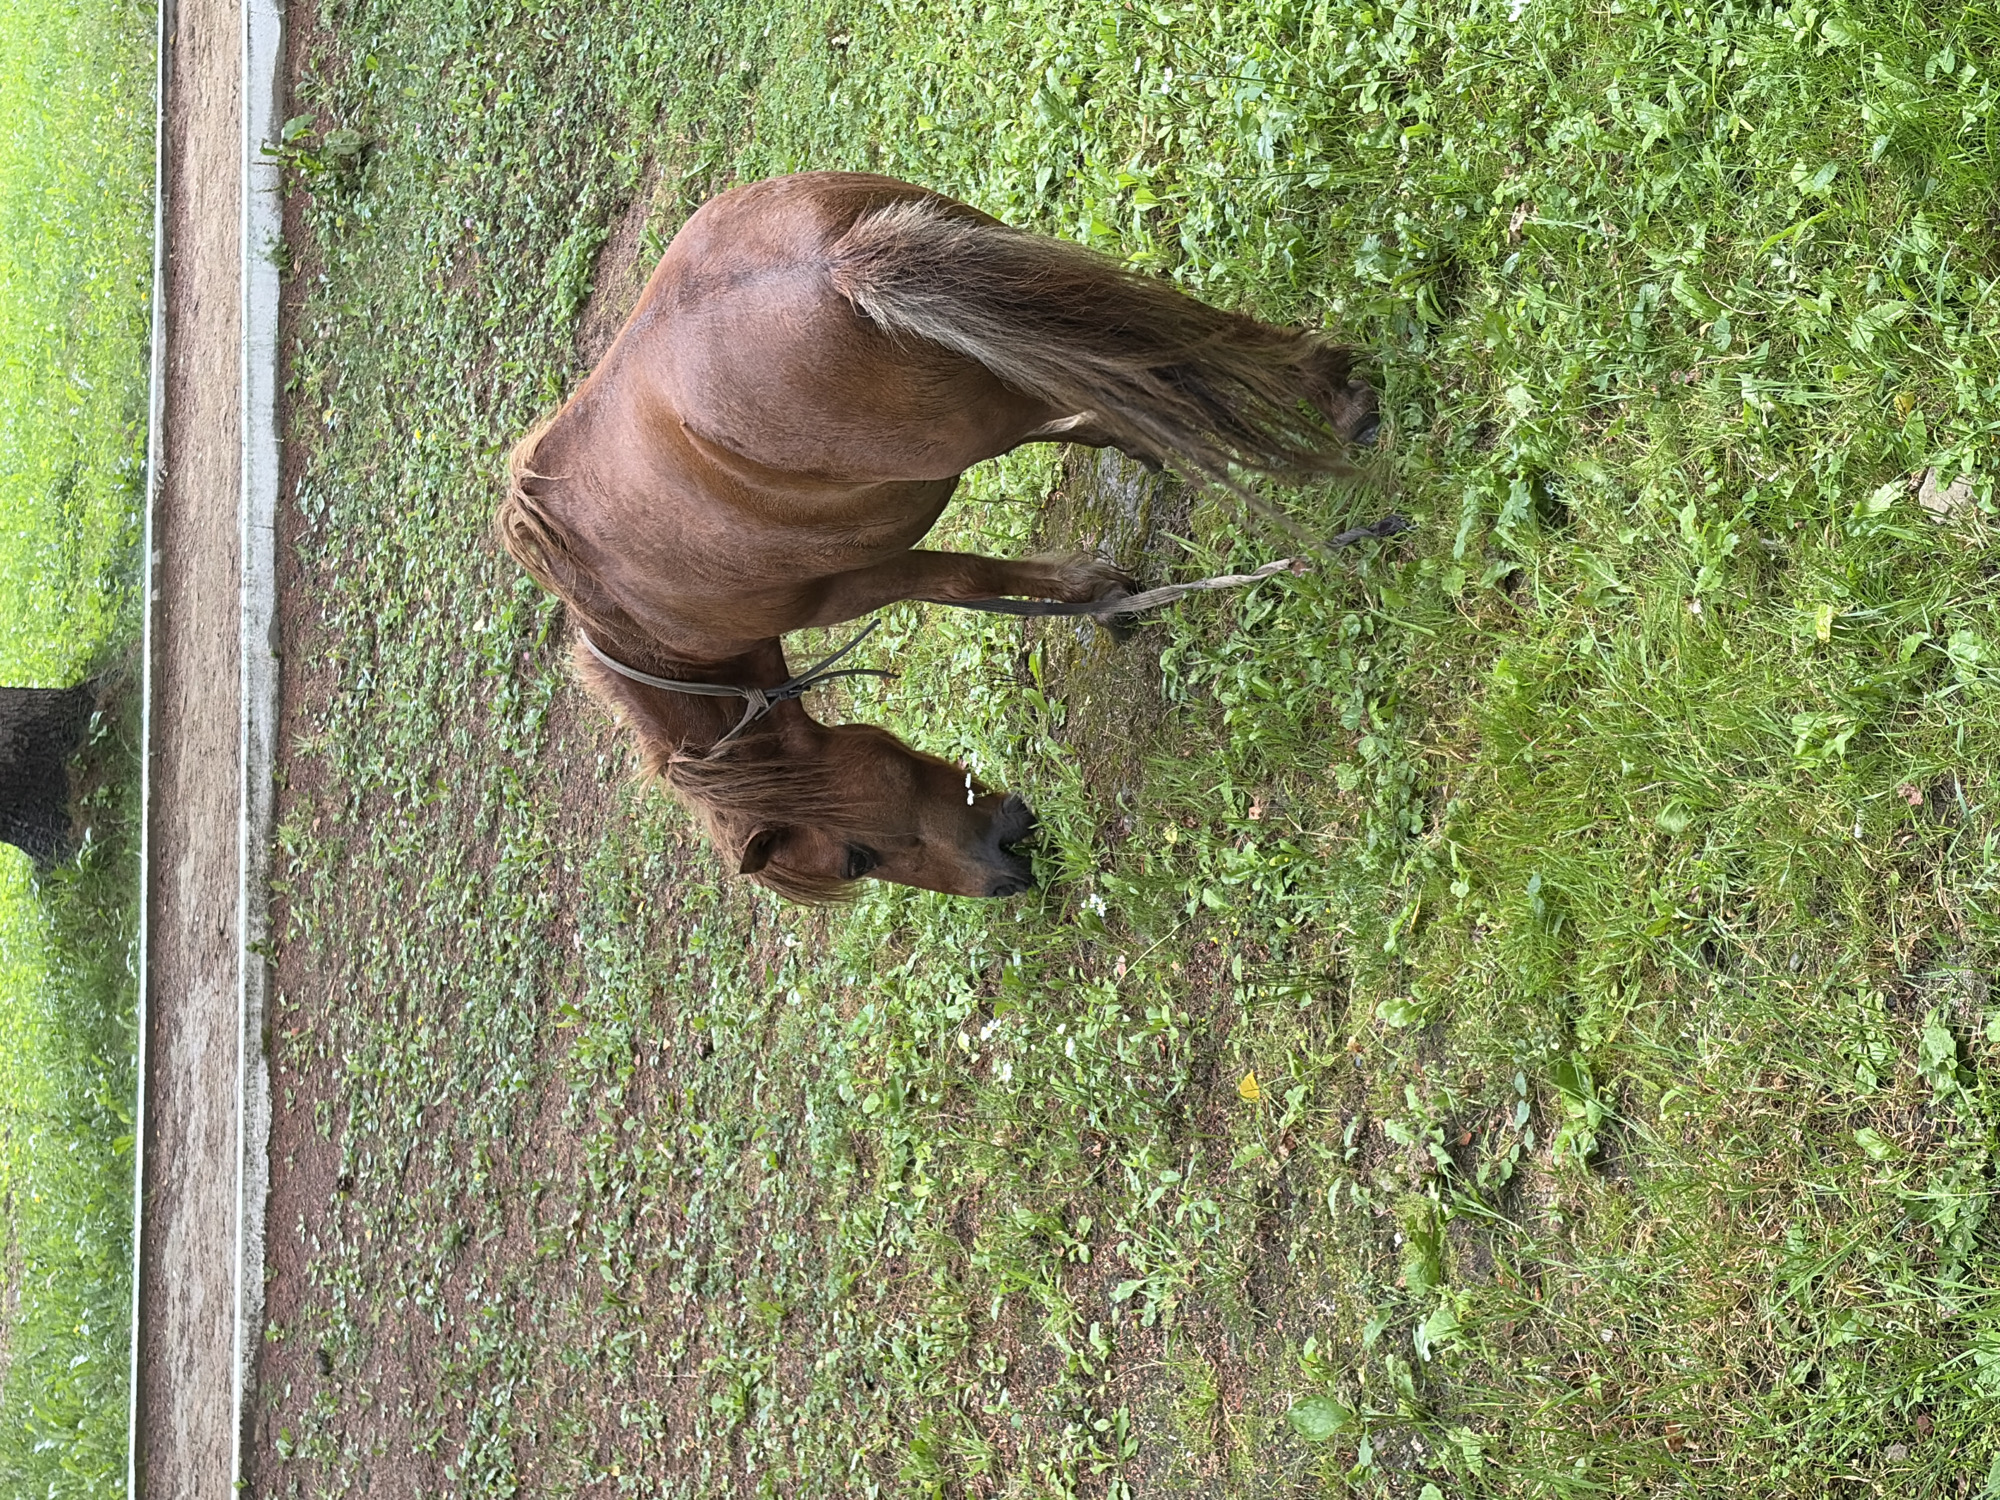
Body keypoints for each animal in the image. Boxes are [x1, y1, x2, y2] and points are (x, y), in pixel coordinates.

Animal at [498, 171, 1373, 902]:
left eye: (856, 858)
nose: (1007, 871)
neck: (644, 619)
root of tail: (827, 264)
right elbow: (1089, 419)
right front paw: (1126, 498)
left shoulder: (855, 584)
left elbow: (967, 577)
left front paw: (1096, 594)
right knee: (1164, 335)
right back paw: (1325, 378)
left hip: (985, 408)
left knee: (1168, 353)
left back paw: (1328, 398)